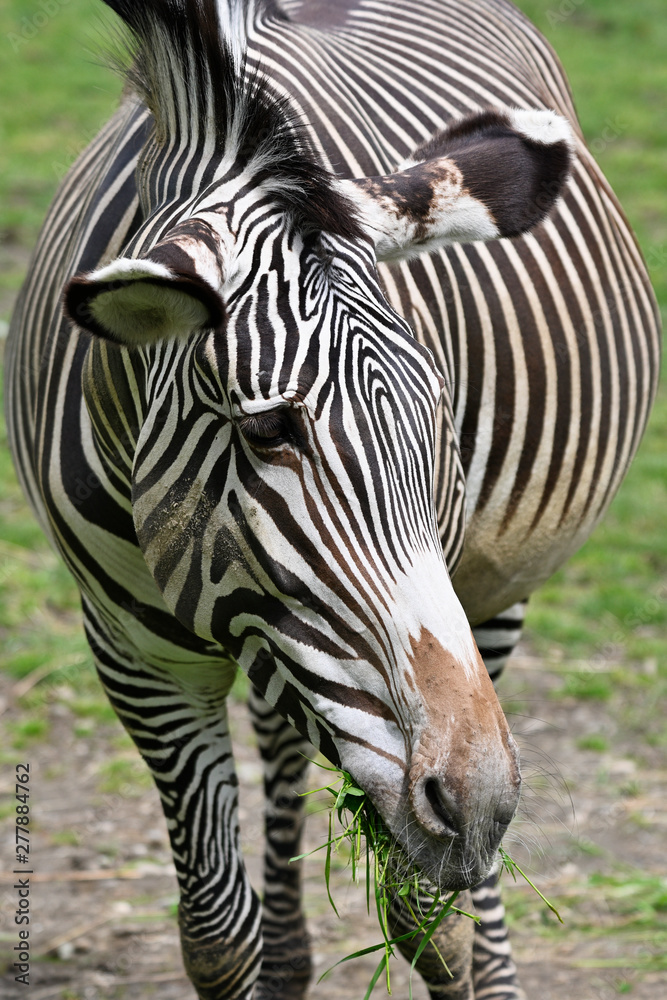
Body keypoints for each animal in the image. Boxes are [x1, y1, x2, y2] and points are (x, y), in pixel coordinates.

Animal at [5, 1, 660, 998]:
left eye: (441, 417)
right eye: (271, 430)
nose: (477, 802)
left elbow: (430, 922)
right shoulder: (134, 657)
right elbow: (214, 935)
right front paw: (258, 951)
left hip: (496, 594)